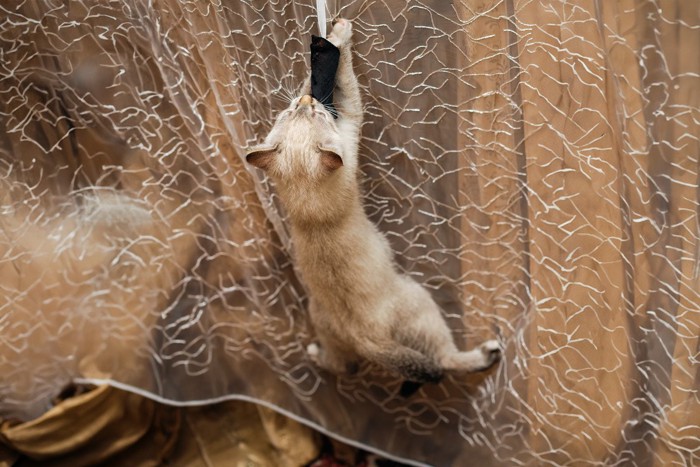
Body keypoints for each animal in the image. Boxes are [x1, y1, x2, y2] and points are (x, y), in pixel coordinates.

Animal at [246, 18, 498, 390]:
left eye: (294, 111)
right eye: (314, 113)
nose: (306, 101)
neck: (307, 202)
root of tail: (365, 339)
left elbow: (322, 76)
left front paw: (326, 46)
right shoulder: (350, 120)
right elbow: (345, 78)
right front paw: (339, 33)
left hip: (322, 322)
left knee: (344, 366)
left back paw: (314, 355)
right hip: (420, 301)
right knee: (443, 361)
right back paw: (485, 354)